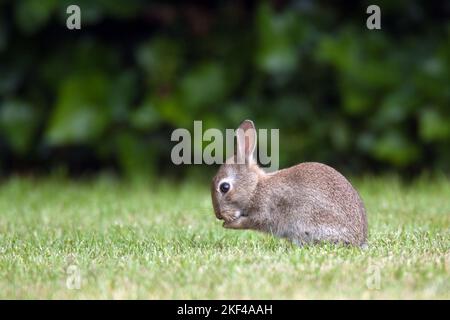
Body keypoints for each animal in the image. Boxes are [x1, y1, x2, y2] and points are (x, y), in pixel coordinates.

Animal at [211, 119, 370, 246]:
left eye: (224, 187)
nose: (218, 215)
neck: (255, 188)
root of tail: (358, 240)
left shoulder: (266, 211)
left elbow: (253, 222)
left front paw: (229, 224)